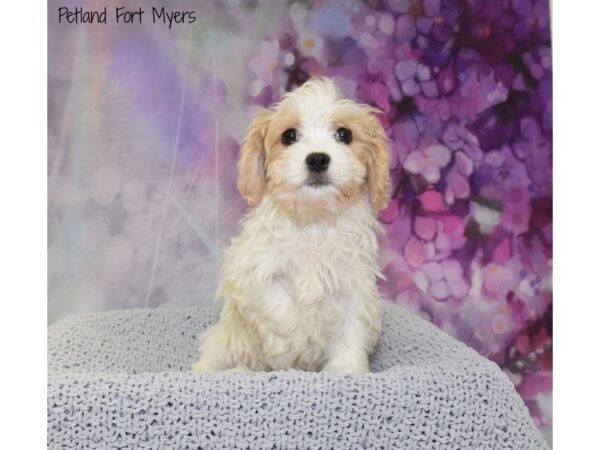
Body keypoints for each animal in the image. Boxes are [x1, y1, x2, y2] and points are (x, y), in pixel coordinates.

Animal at [190, 78, 392, 376]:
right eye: (289, 136)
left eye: (344, 135)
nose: (317, 159)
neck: (313, 221)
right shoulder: (250, 272)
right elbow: (279, 307)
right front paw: (293, 344)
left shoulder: (354, 288)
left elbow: (351, 335)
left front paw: (347, 369)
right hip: (225, 343)